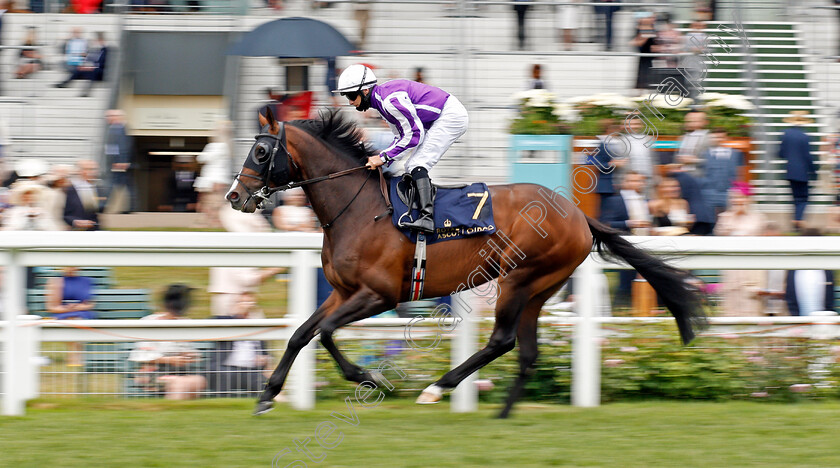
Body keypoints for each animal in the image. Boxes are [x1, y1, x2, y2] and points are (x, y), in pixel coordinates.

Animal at [226, 109, 704, 416]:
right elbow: (300, 334)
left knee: (502, 341)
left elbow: (324, 333)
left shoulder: (379, 295)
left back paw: (438, 388)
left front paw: (369, 379)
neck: (360, 210)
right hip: (540, 287)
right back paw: (502, 412)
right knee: (525, 349)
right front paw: (267, 395)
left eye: (261, 153)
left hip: (519, 279)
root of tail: (576, 213)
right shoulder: (343, 292)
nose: (234, 196)